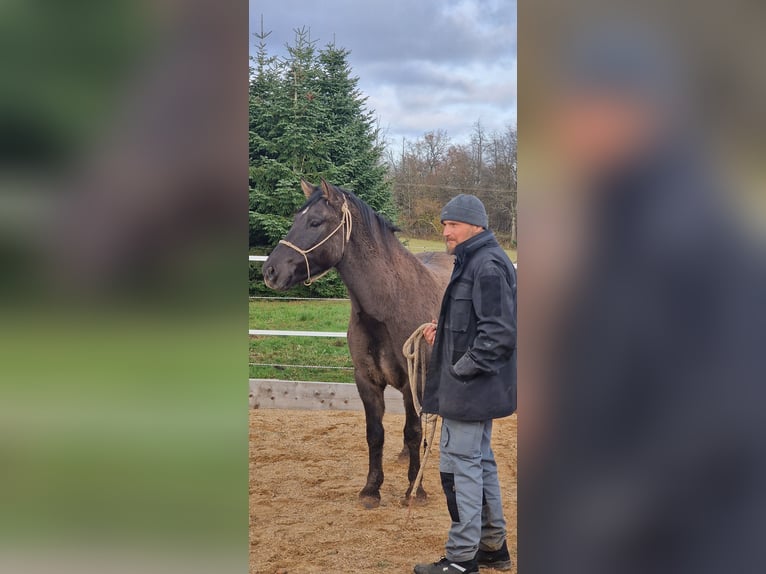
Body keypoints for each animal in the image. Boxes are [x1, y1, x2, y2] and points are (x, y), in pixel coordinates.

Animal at [263, 179, 452, 508]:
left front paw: (414, 490)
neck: (391, 305)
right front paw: (371, 489)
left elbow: (413, 430)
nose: (270, 272)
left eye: (315, 222)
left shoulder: (413, 380)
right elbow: (375, 433)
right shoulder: (366, 379)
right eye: (295, 219)